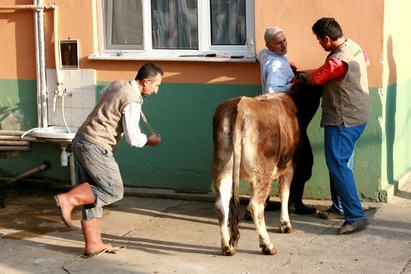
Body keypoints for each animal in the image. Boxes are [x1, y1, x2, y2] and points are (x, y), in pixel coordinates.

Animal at [212, 92, 300, 256]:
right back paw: (268, 245)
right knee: (256, 206)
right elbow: (284, 193)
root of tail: (239, 106)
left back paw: (227, 247)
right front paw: (285, 225)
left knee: (221, 205)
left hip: (222, 166)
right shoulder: (289, 166)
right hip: (261, 170)